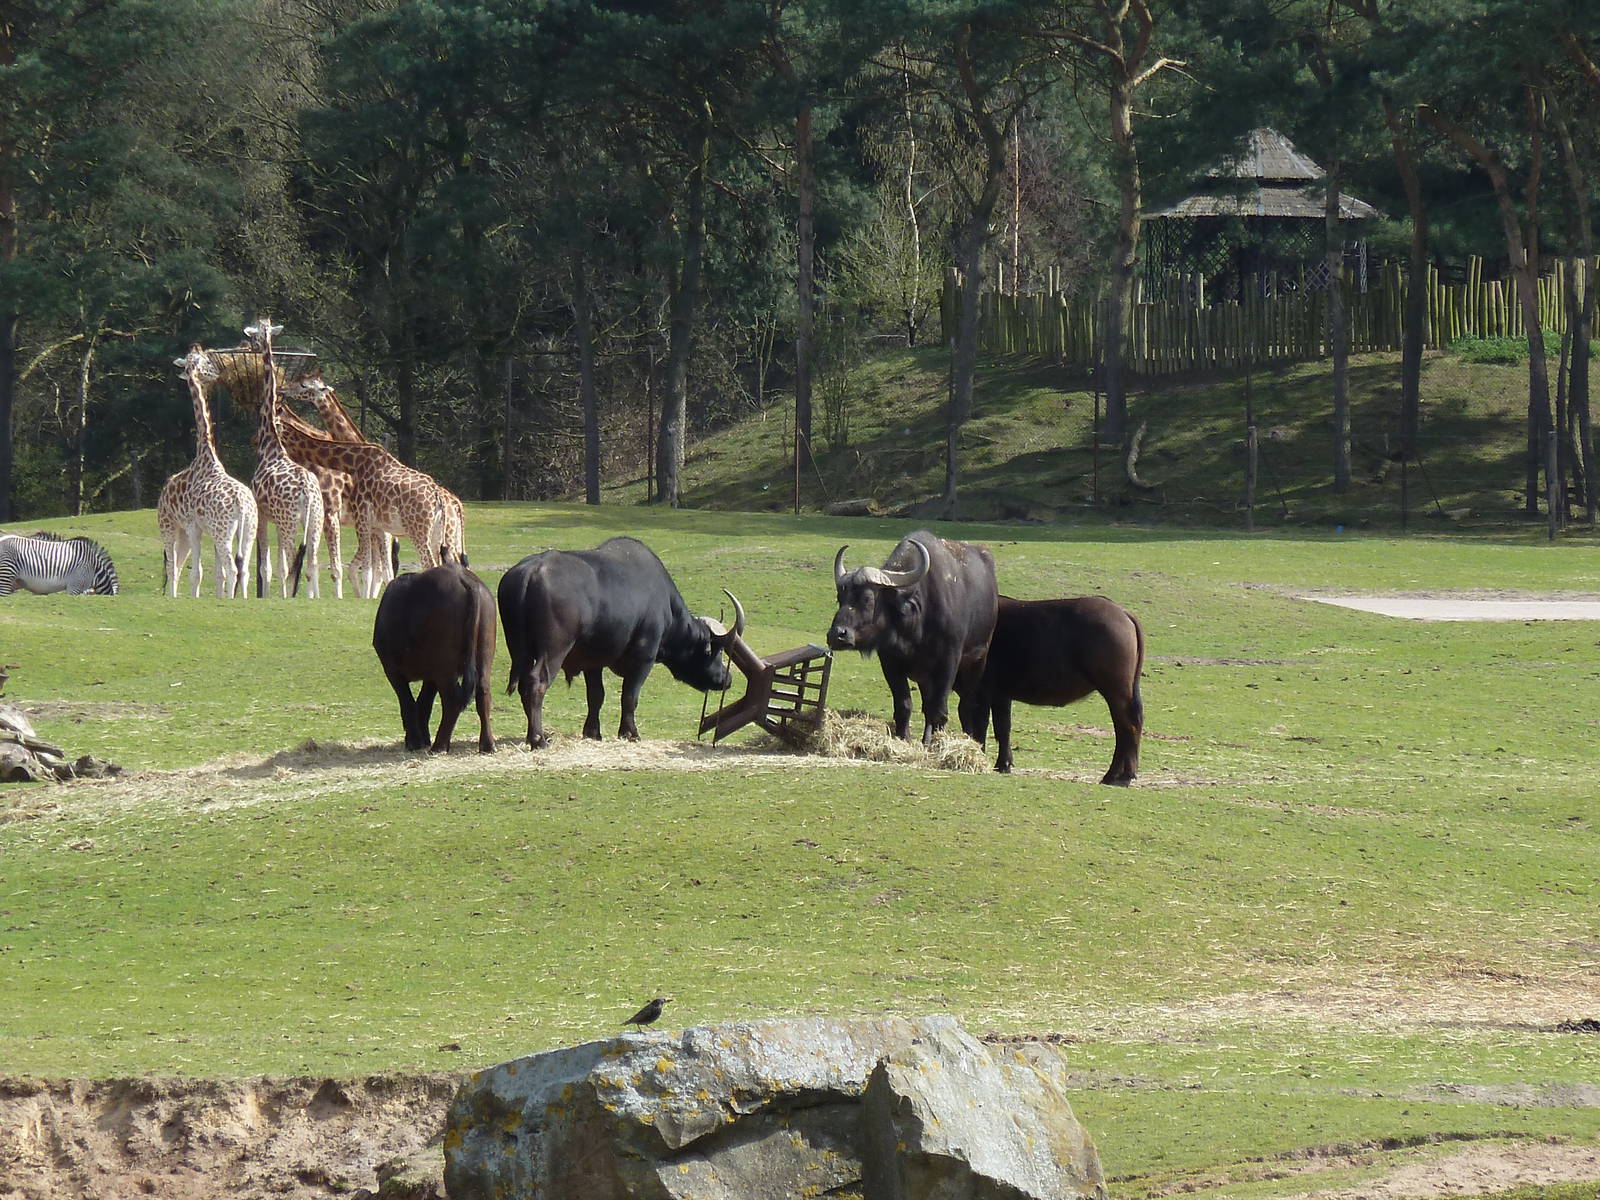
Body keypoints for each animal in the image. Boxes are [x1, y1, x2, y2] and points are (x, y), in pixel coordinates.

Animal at [156, 347, 258, 598]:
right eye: (206, 362)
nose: (218, 373)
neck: (205, 456)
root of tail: (242, 505)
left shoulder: (194, 527)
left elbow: (199, 573)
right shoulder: (202, 529)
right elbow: (214, 574)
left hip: (179, 526)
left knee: (179, 566)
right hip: (247, 530)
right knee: (243, 570)